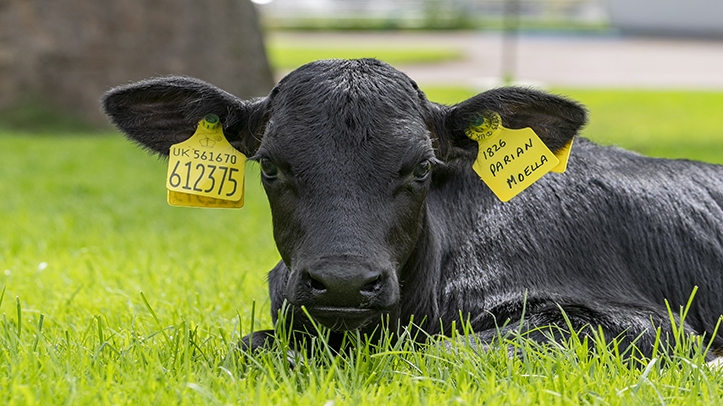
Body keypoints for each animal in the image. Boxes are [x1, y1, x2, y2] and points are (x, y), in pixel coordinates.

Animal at [102, 58, 723, 361]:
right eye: (270, 167)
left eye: (422, 167)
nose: (344, 281)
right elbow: (247, 348)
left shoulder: (649, 323)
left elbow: (452, 353)